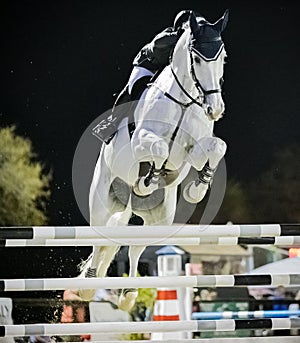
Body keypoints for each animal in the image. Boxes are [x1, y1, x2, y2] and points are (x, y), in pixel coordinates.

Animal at [78, 10, 229, 312]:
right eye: (197, 59)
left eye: (223, 57)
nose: (215, 110)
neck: (184, 101)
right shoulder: (142, 141)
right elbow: (158, 148)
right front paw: (148, 180)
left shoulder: (192, 150)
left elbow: (217, 147)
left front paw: (197, 188)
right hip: (102, 202)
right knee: (100, 240)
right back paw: (89, 284)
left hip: (158, 218)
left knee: (136, 247)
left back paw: (128, 294)